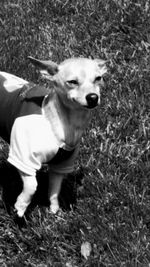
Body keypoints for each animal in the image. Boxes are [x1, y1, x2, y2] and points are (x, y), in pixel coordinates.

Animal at [0, 56, 106, 220]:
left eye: (98, 78)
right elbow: (32, 186)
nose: (93, 97)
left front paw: (54, 211)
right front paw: (21, 206)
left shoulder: (61, 166)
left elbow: (54, 191)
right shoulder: (23, 159)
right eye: (72, 82)